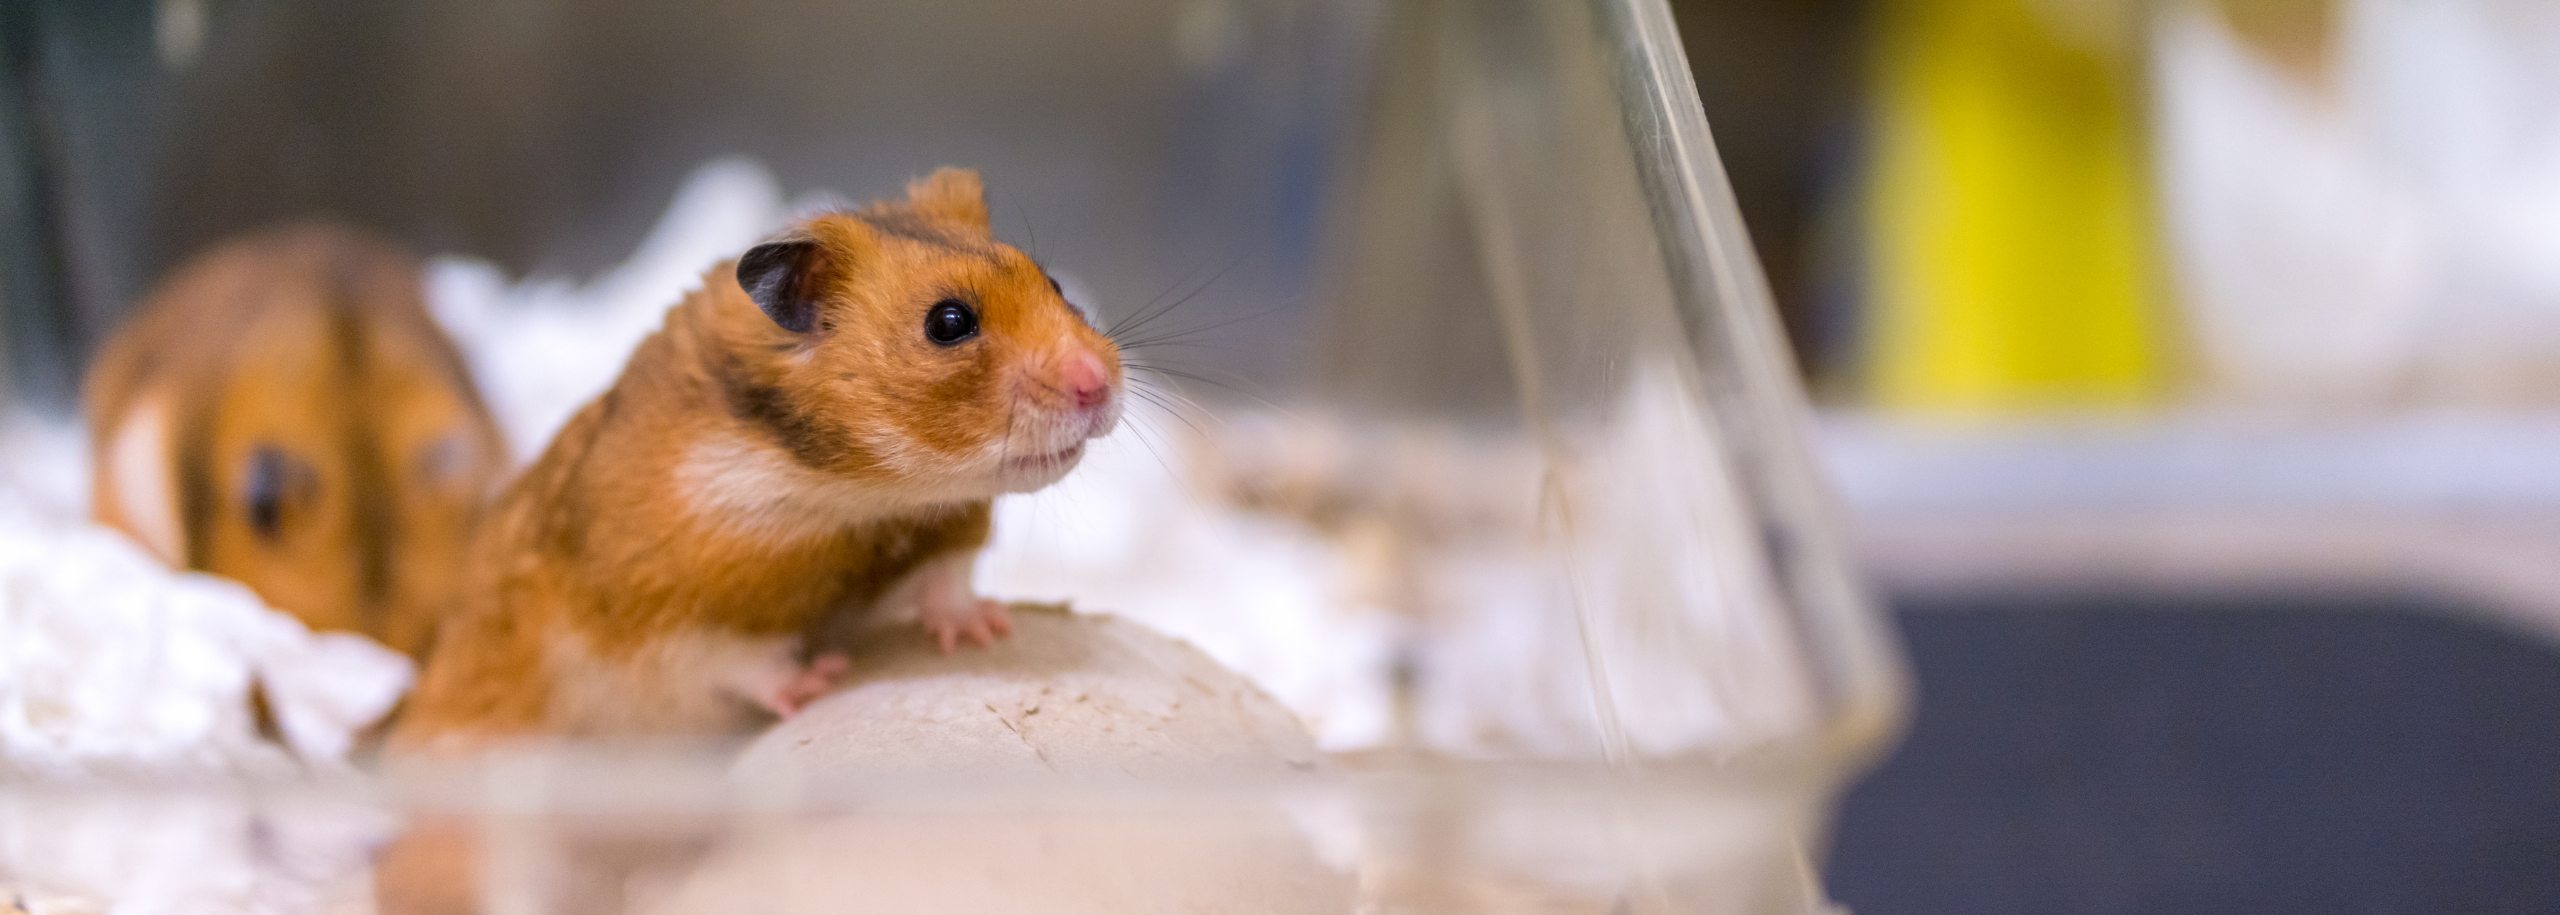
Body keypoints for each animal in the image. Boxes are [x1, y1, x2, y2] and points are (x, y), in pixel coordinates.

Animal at [388, 168, 1122, 747]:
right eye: (948, 323)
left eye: (1055, 282)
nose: (1100, 384)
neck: (844, 493)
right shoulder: (659, 616)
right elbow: (739, 659)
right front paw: (821, 680)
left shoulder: (941, 528)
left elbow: (949, 576)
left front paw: (986, 628)